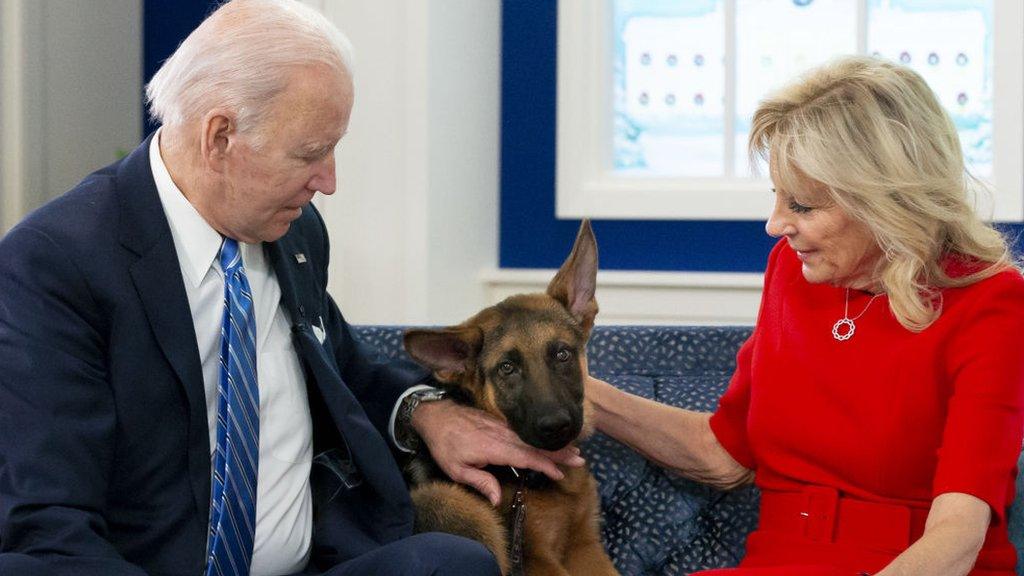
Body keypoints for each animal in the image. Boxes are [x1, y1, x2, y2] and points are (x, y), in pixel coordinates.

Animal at [403, 219, 618, 573]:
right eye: (507, 369)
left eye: (562, 354)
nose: (556, 426)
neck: (525, 478)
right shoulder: (537, 558)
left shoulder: (584, 546)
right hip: (449, 500)